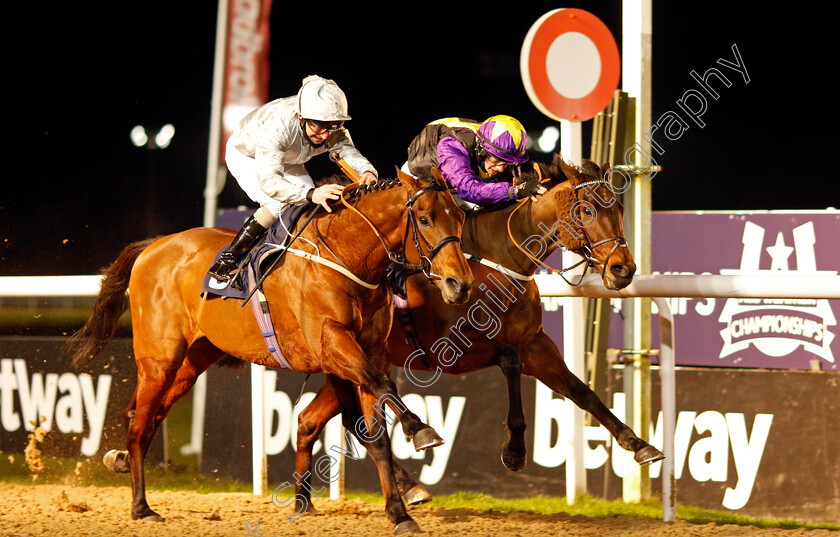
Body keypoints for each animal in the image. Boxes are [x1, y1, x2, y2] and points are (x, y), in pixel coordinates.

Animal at [60, 169, 472, 532]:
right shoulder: (334, 344)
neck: (346, 256)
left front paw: (399, 513)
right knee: (140, 422)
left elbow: (375, 433)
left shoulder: (368, 351)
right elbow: (382, 391)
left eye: (461, 217)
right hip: (159, 359)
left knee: (145, 415)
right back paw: (141, 506)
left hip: (194, 359)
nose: (461, 283)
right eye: (424, 218)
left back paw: (123, 463)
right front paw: (419, 429)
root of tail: (153, 246)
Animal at [292, 153, 668, 512]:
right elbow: (510, 362)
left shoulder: (534, 343)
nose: (624, 269)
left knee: (312, 419)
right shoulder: (451, 353)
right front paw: (514, 450)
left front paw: (640, 445)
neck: (498, 259)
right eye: (587, 209)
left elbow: (582, 391)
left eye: (619, 208)